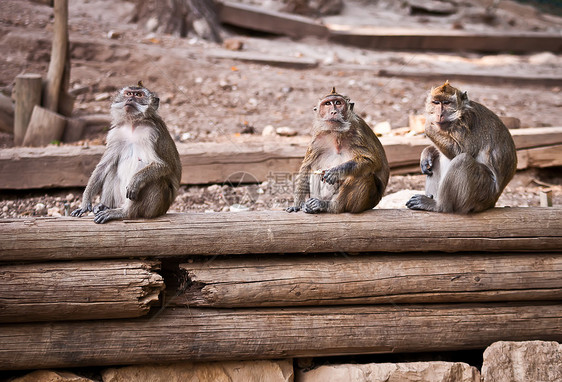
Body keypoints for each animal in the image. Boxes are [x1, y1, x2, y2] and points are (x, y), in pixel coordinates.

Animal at [69, 81, 179, 224]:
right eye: (128, 93)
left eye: (138, 95)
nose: (130, 99)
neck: (133, 124)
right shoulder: (116, 134)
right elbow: (103, 167)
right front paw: (85, 202)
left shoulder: (151, 133)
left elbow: (162, 166)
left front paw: (135, 181)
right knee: (112, 168)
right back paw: (105, 206)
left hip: (155, 208)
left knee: (153, 178)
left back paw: (124, 212)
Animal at [402, 81, 516, 213]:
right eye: (436, 102)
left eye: (446, 103)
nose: (439, 114)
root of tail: (493, 201)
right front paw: (427, 153)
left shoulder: (466, 123)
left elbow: (462, 151)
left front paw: (429, 126)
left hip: (482, 191)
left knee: (463, 160)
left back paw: (439, 206)